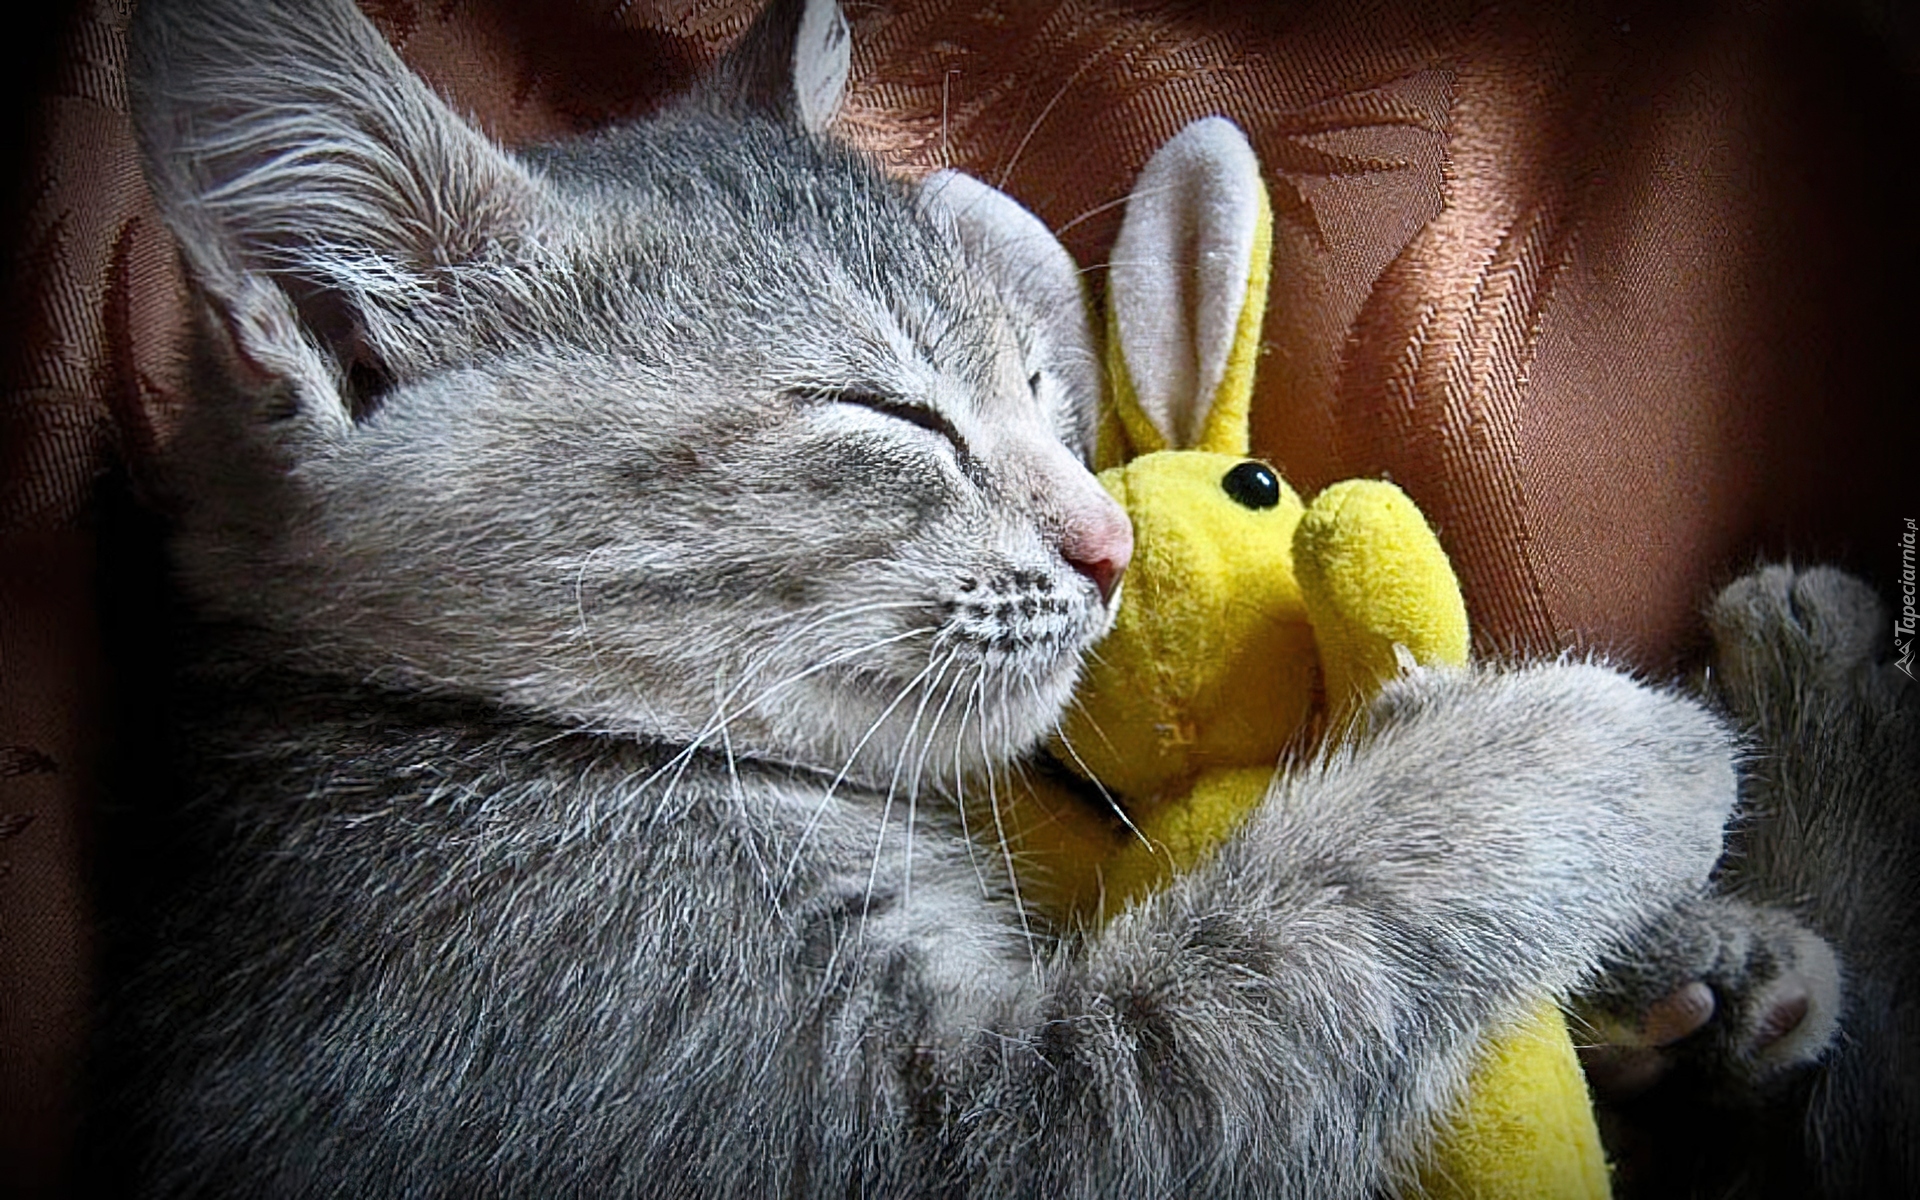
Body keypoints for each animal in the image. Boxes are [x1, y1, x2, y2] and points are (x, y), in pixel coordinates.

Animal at [98, 0, 1749, 1194]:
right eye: (885, 416)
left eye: (1035, 384)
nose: (1109, 540)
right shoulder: (939, 1136)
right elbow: (1290, 943)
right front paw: (1599, 749)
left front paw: (1698, 959)